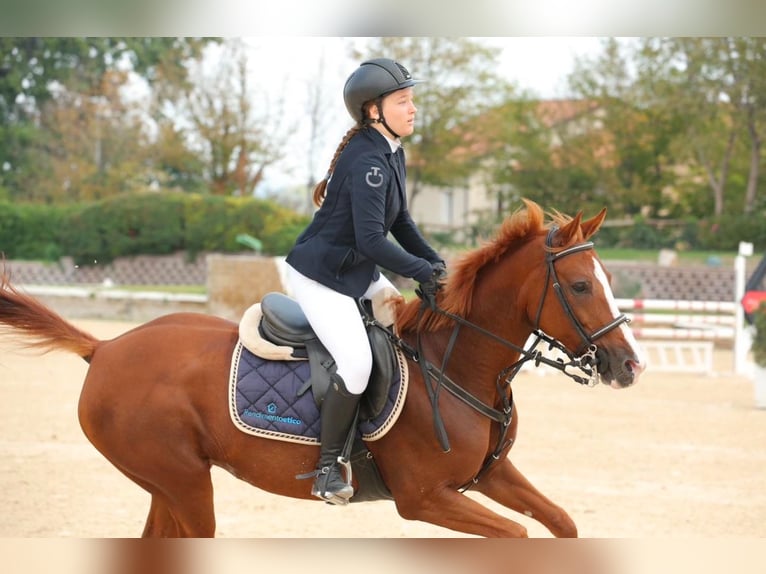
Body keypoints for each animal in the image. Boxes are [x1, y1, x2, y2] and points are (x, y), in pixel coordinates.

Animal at [0, 200, 644, 536]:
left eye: (609, 279)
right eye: (581, 286)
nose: (630, 365)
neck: (455, 367)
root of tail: (106, 348)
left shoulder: (489, 476)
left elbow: (561, 523)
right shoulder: (425, 498)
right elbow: (517, 533)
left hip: (171, 484)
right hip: (181, 482)